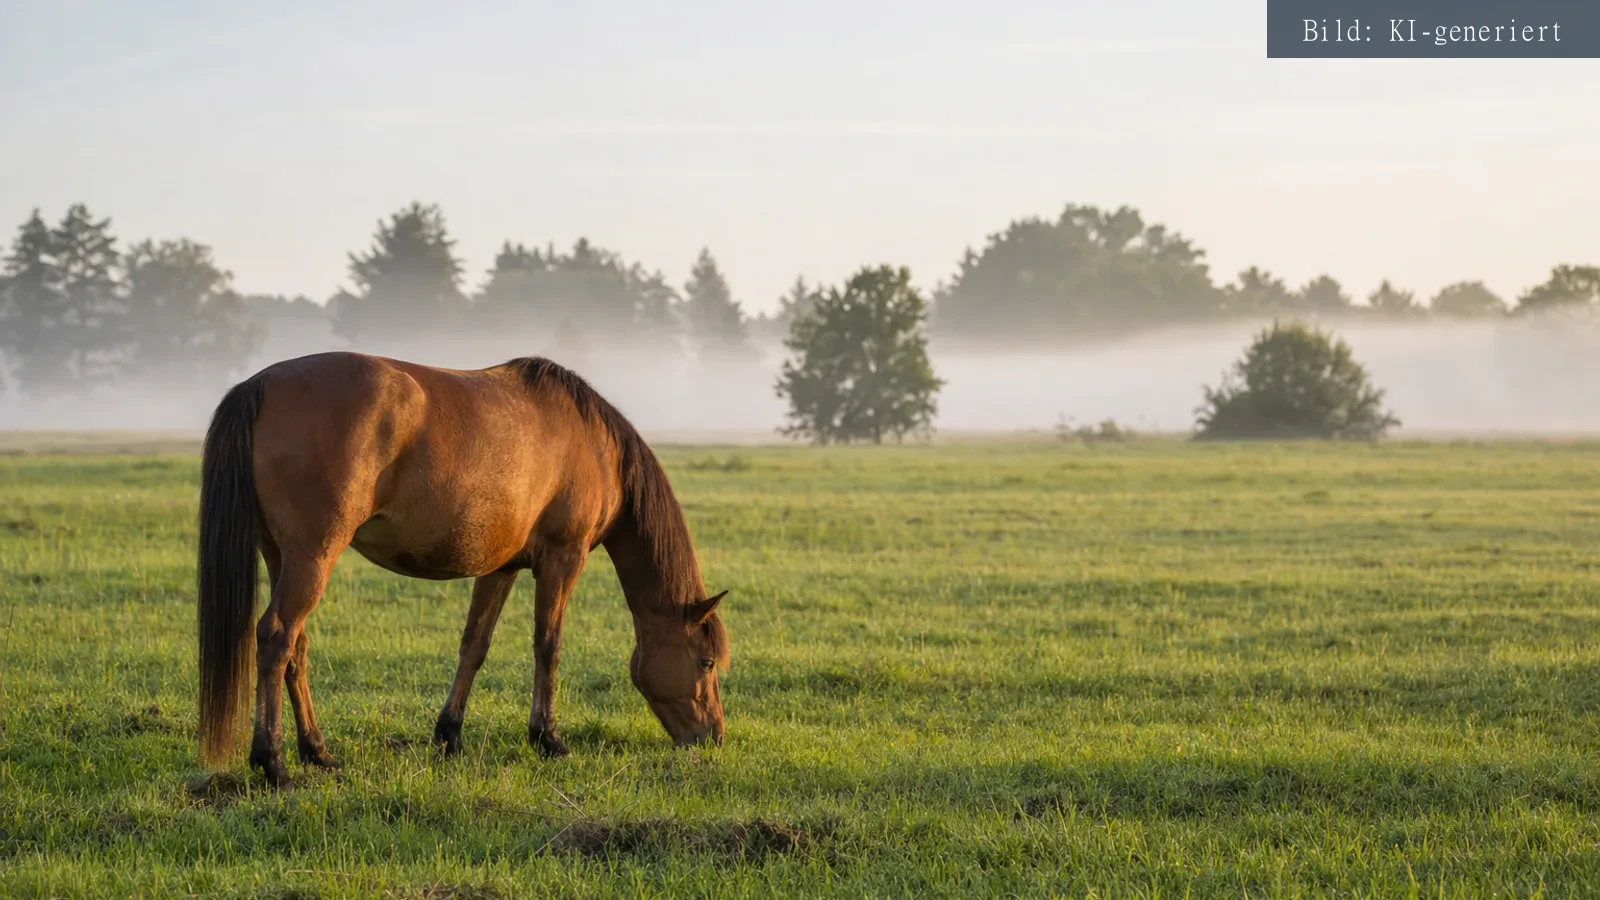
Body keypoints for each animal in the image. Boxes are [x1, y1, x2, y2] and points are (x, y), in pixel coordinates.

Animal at [195, 351, 730, 788]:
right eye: (706, 662)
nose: (714, 736)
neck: (594, 446)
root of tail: (260, 384)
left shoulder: (500, 567)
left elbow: (475, 646)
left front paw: (450, 734)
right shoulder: (564, 558)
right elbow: (548, 646)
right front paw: (548, 738)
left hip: (282, 556)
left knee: (296, 648)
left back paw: (318, 752)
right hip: (313, 556)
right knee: (276, 637)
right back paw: (273, 763)